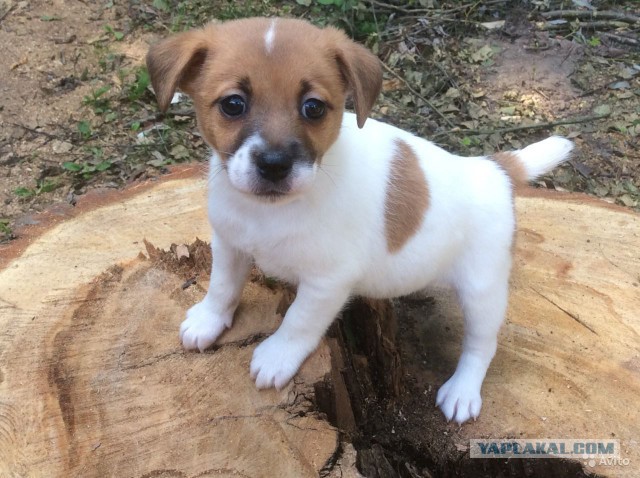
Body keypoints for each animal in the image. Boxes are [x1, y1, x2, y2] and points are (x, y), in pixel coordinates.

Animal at [148, 17, 572, 422]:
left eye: (313, 107)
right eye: (233, 104)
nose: (274, 165)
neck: (271, 210)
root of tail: (492, 168)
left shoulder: (327, 282)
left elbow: (299, 321)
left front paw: (277, 356)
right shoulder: (229, 244)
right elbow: (222, 286)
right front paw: (208, 320)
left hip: (482, 291)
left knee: (482, 345)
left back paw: (463, 391)